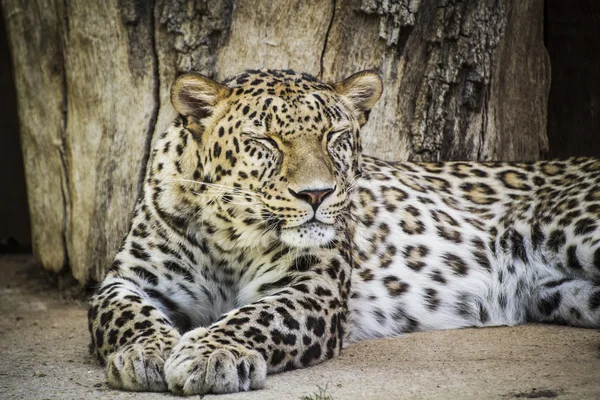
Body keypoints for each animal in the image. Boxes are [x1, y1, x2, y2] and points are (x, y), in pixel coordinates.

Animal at [88, 68, 600, 394]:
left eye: (334, 136)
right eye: (265, 141)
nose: (316, 194)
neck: (230, 237)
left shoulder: (314, 289)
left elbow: (256, 316)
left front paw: (210, 355)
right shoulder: (128, 279)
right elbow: (120, 312)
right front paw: (148, 352)